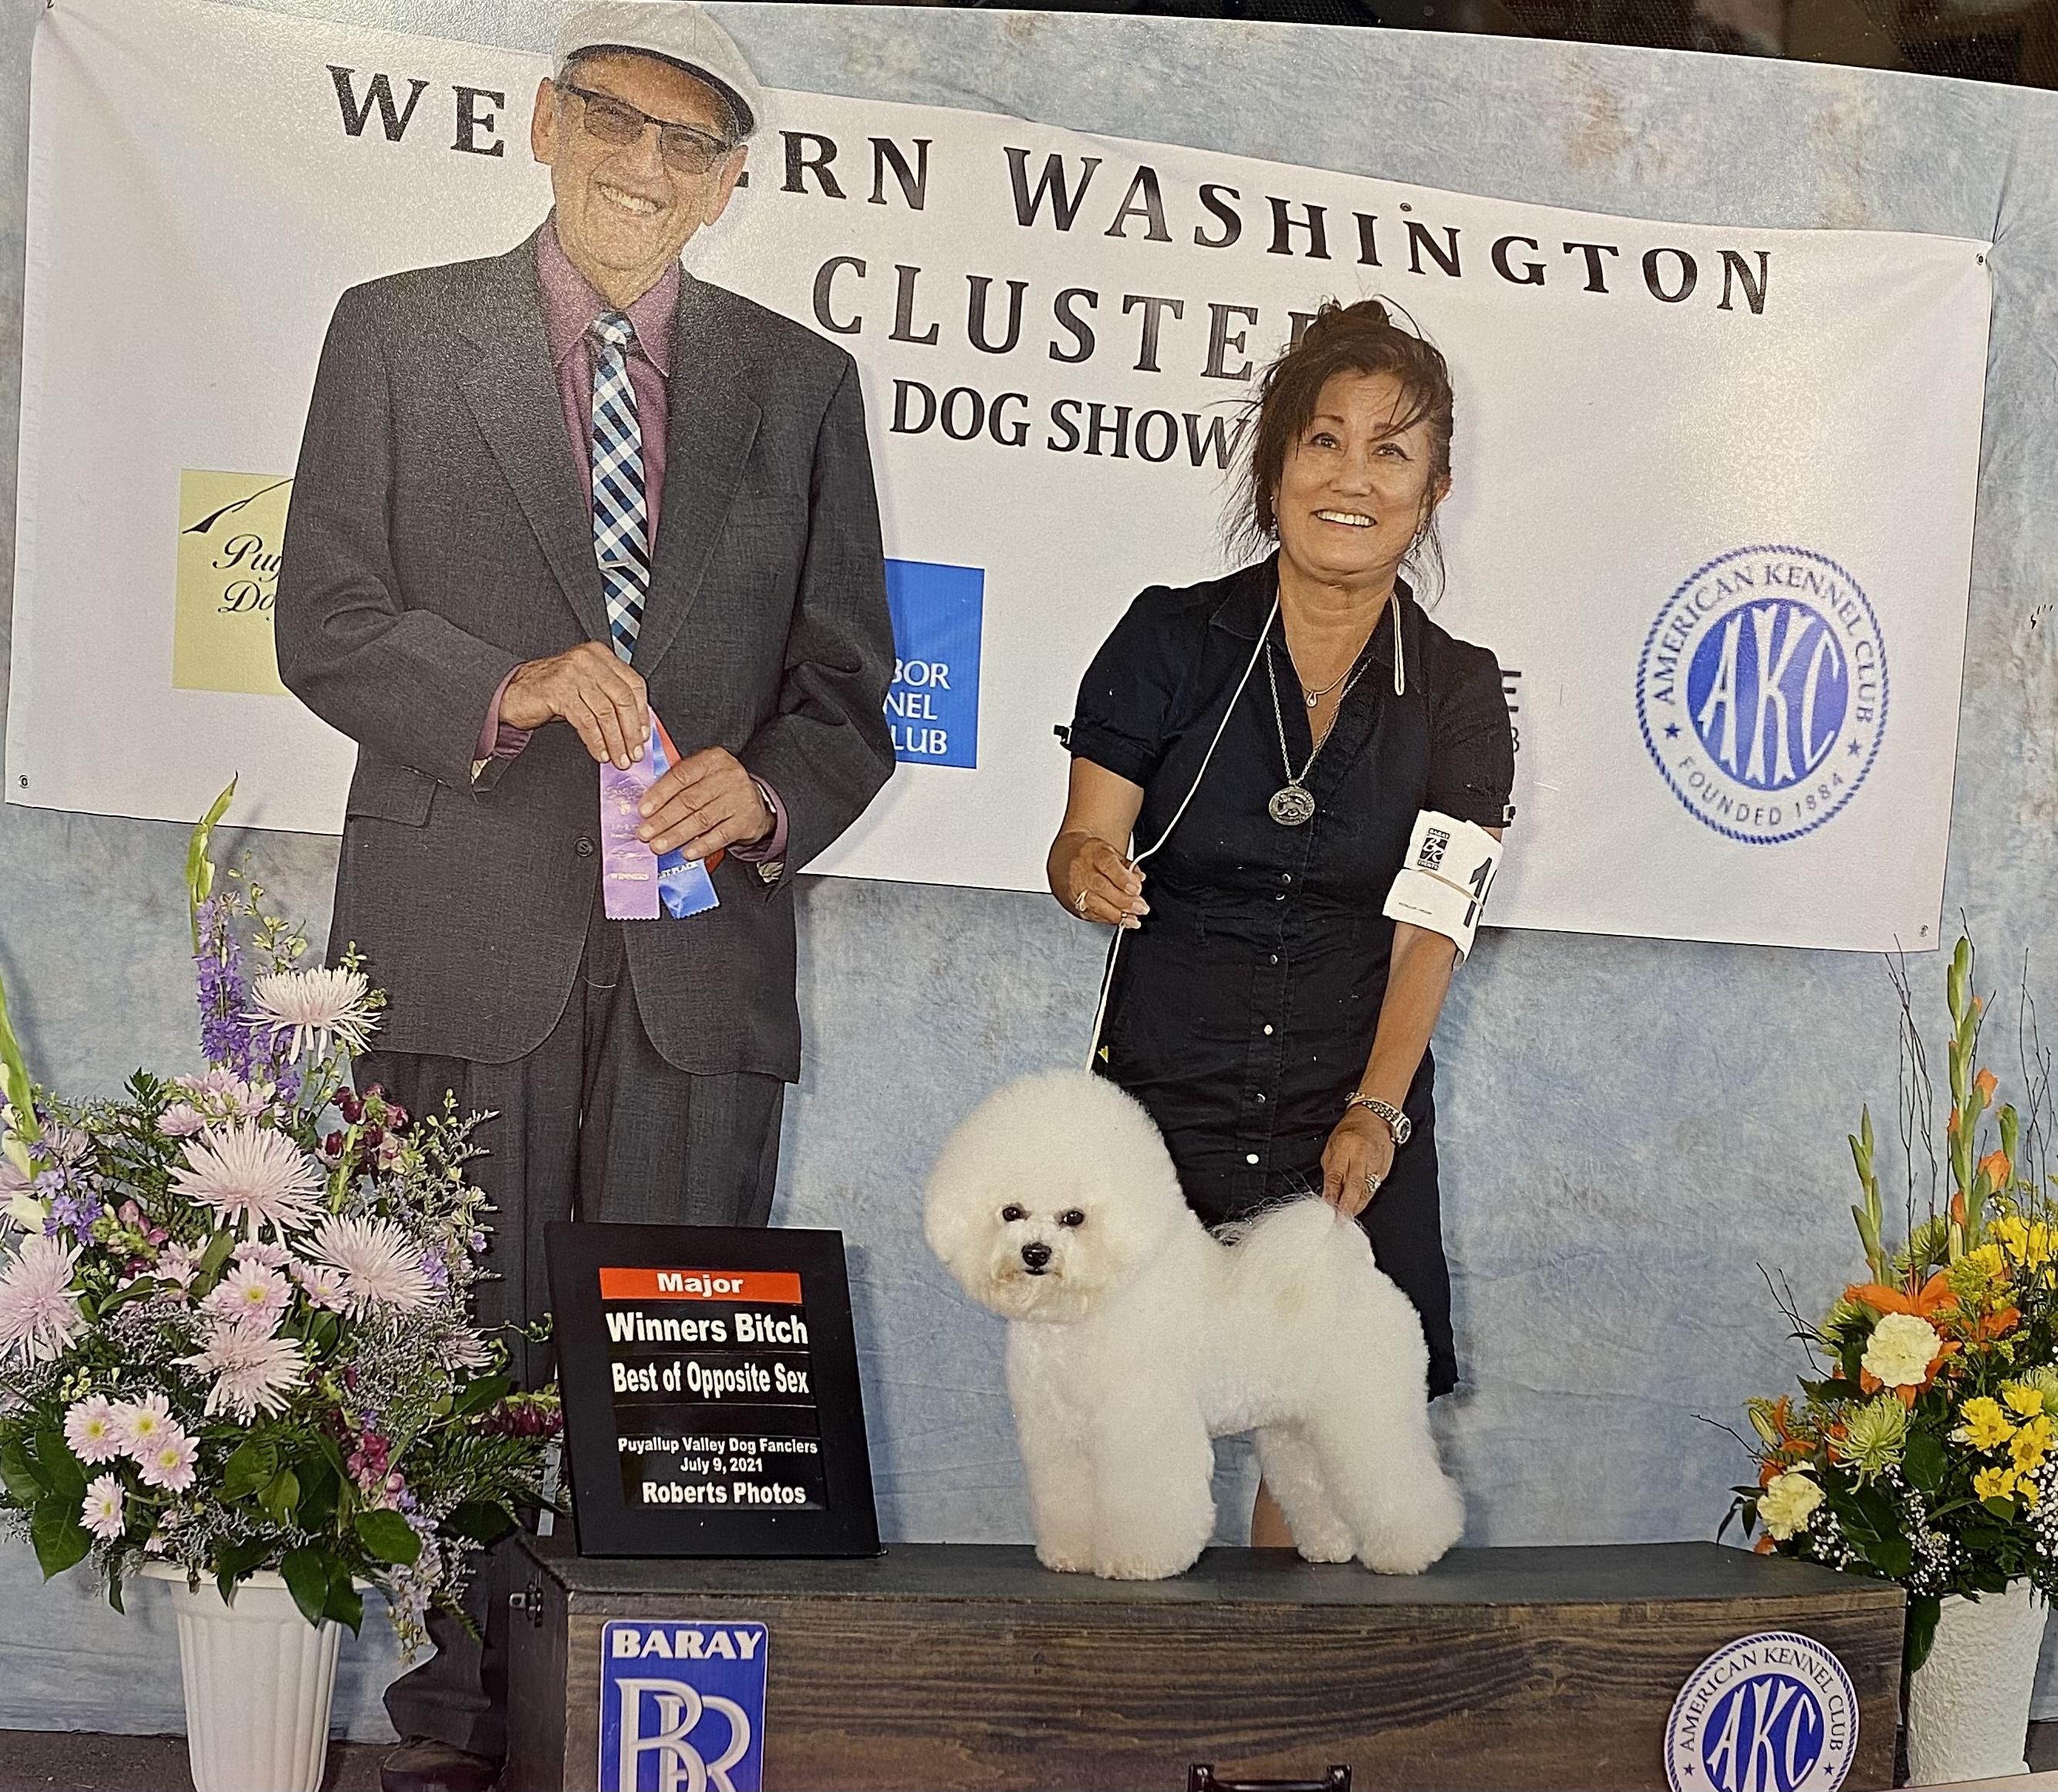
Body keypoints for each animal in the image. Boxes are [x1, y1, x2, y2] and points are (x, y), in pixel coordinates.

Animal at [923, 1068, 1465, 1581]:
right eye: (1010, 1212)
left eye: (1073, 1218)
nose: (1035, 1253)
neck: (1090, 1306)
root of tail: (1354, 1272)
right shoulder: (1057, 1431)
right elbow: (1068, 1500)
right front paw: (1071, 1556)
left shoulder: (1141, 1421)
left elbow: (1149, 1500)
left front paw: (1139, 1562)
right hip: (1297, 1428)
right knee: (1315, 1486)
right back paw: (1331, 1547)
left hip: (1367, 1411)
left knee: (1399, 1481)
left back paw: (1414, 1551)